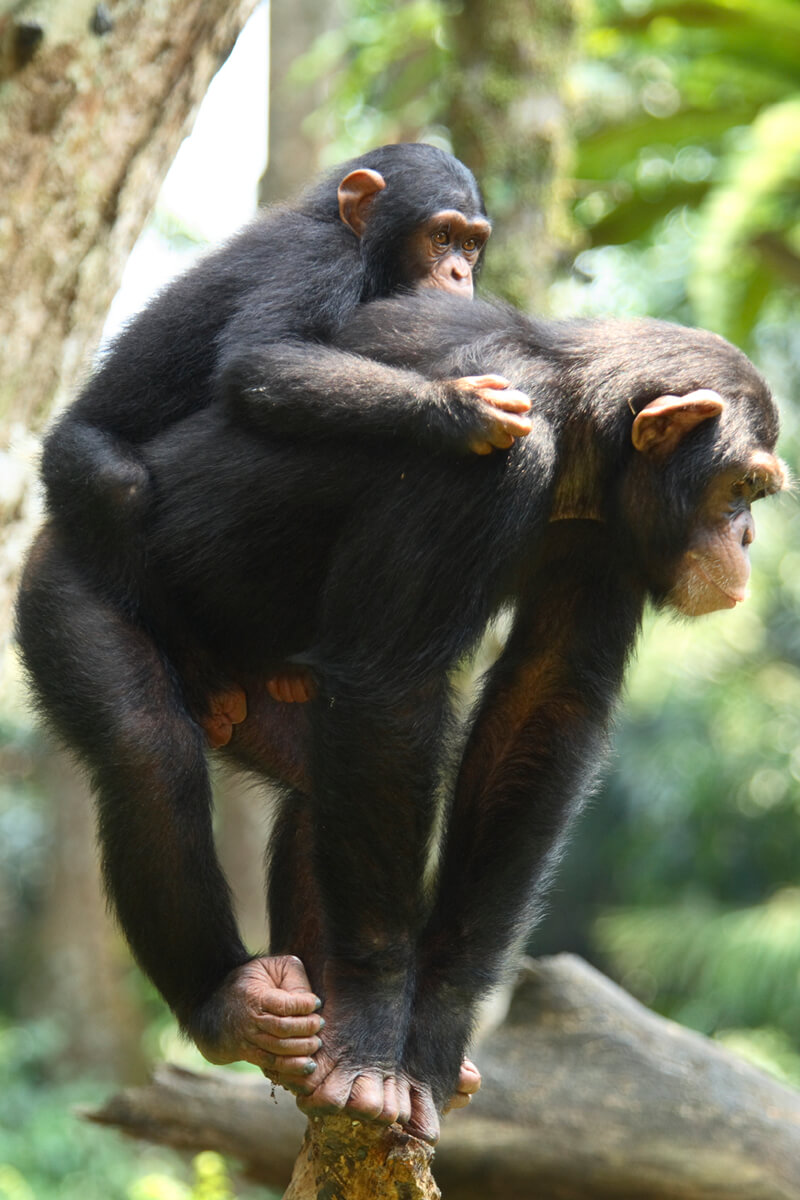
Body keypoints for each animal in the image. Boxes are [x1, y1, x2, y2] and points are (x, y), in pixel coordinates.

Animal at [15, 292, 786, 1142]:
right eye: (741, 486)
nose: (748, 535)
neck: (579, 430)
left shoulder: (608, 540)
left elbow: (544, 702)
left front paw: (435, 1033)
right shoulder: (485, 466)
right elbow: (392, 687)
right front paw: (377, 1040)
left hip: (267, 690)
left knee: (318, 785)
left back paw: (304, 1031)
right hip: (68, 585)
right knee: (146, 751)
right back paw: (229, 1003)